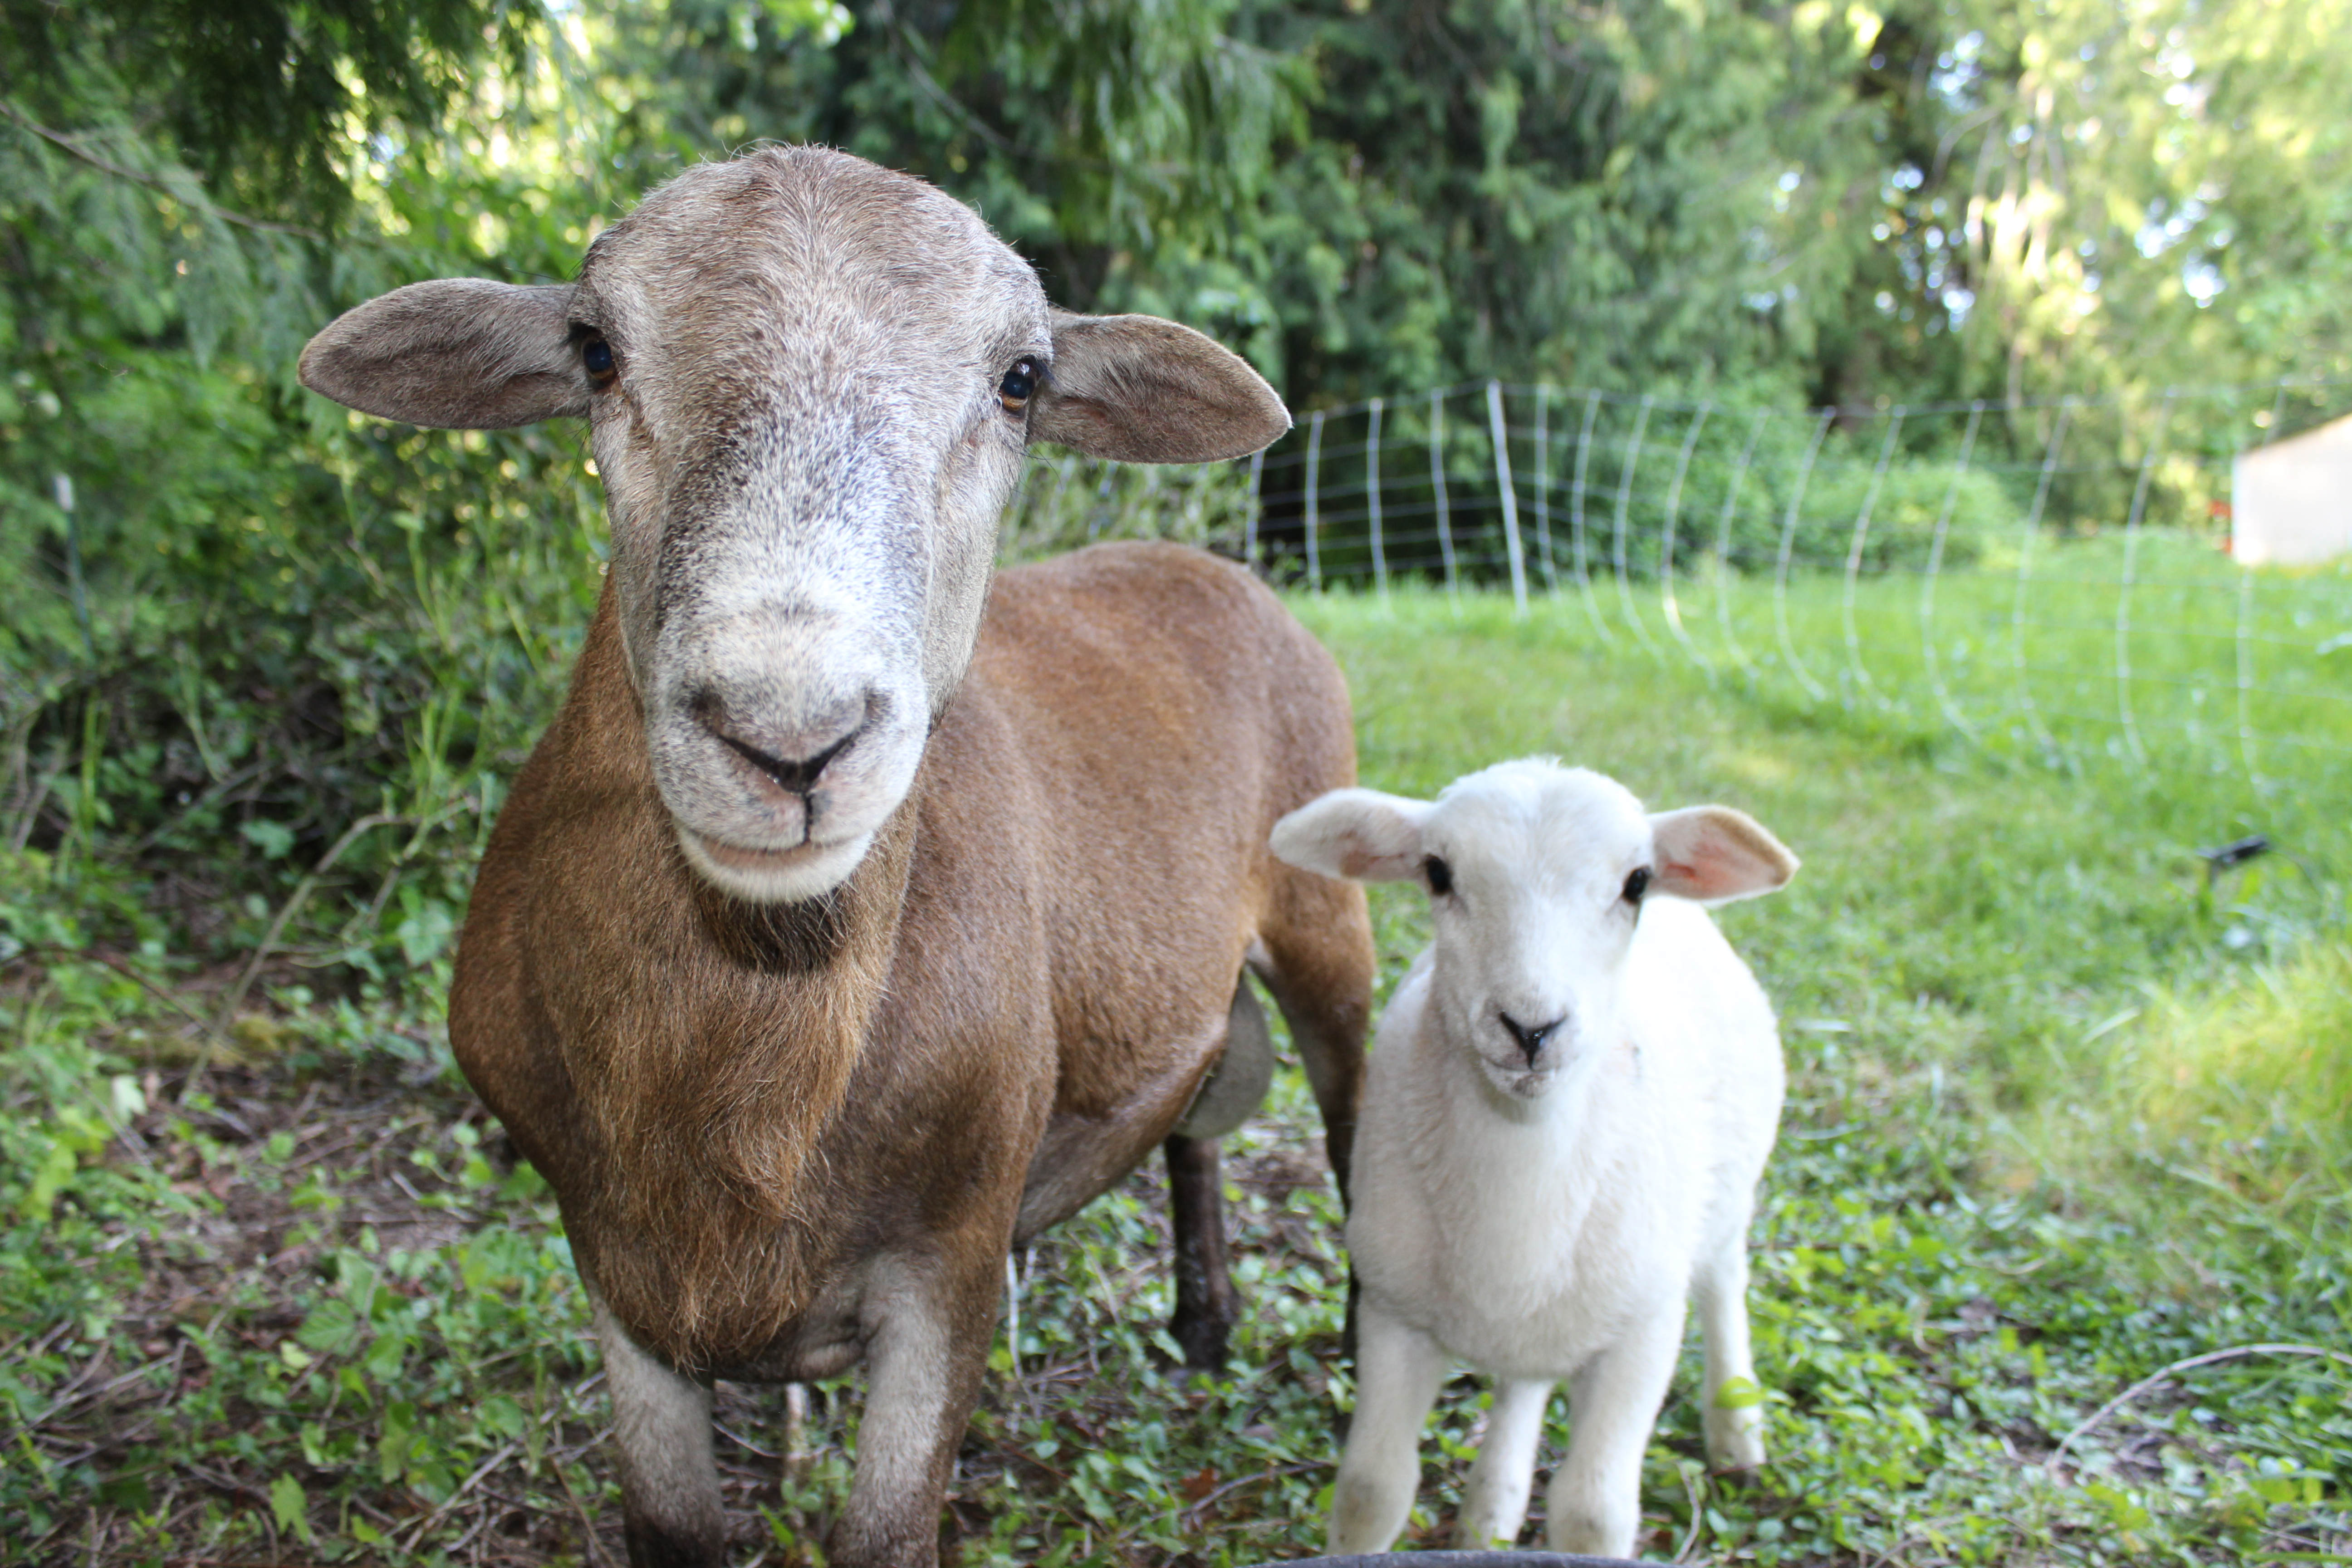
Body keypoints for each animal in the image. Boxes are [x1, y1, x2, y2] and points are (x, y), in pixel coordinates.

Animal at [296, 146, 1375, 1568]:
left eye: (1021, 379)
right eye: (594, 351)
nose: (789, 735)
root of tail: (1217, 568)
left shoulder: (954, 1254)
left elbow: (888, 1531)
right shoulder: (609, 1266)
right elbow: (670, 1528)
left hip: (1327, 912)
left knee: (1358, 1122)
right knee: (1195, 1116)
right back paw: (1201, 1327)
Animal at [1269, 758, 1798, 1558]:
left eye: (1636, 882)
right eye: (1437, 872)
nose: (1531, 1028)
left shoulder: (1641, 1335)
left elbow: (1593, 1515)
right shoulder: (1392, 1313)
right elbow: (1370, 1492)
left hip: (1725, 1198)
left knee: (1725, 1279)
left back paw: (1737, 1431)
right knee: (1524, 1381)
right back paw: (1490, 1513)